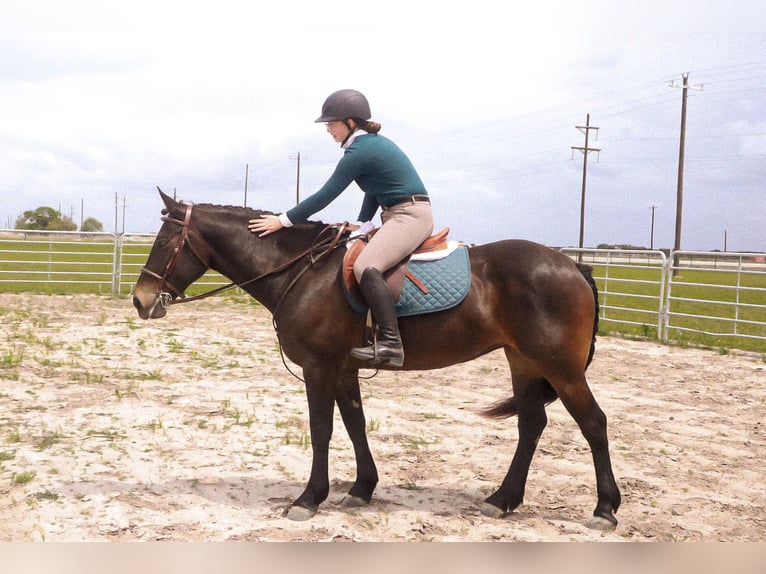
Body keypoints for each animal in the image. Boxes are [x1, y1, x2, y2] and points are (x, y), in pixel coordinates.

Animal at [133, 190, 621, 530]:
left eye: (166, 241)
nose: (140, 300)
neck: (303, 272)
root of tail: (573, 266)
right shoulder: (344, 369)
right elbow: (355, 424)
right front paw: (362, 488)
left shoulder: (319, 368)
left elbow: (322, 429)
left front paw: (308, 499)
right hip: (524, 361)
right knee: (531, 424)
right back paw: (502, 499)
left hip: (561, 368)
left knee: (593, 423)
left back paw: (604, 508)